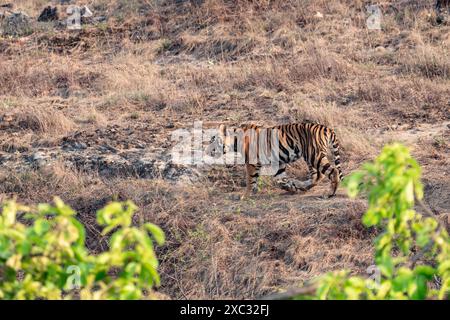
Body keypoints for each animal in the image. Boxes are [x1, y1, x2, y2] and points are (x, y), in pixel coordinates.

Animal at [208, 122, 344, 198]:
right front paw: (292, 188)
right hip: (311, 157)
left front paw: (245, 196)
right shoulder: (279, 163)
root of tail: (327, 128)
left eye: (212, 140)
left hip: (313, 155)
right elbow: (280, 180)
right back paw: (303, 186)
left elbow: (250, 180)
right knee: (318, 175)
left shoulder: (251, 163)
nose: (207, 150)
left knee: (332, 172)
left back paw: (329, 193)